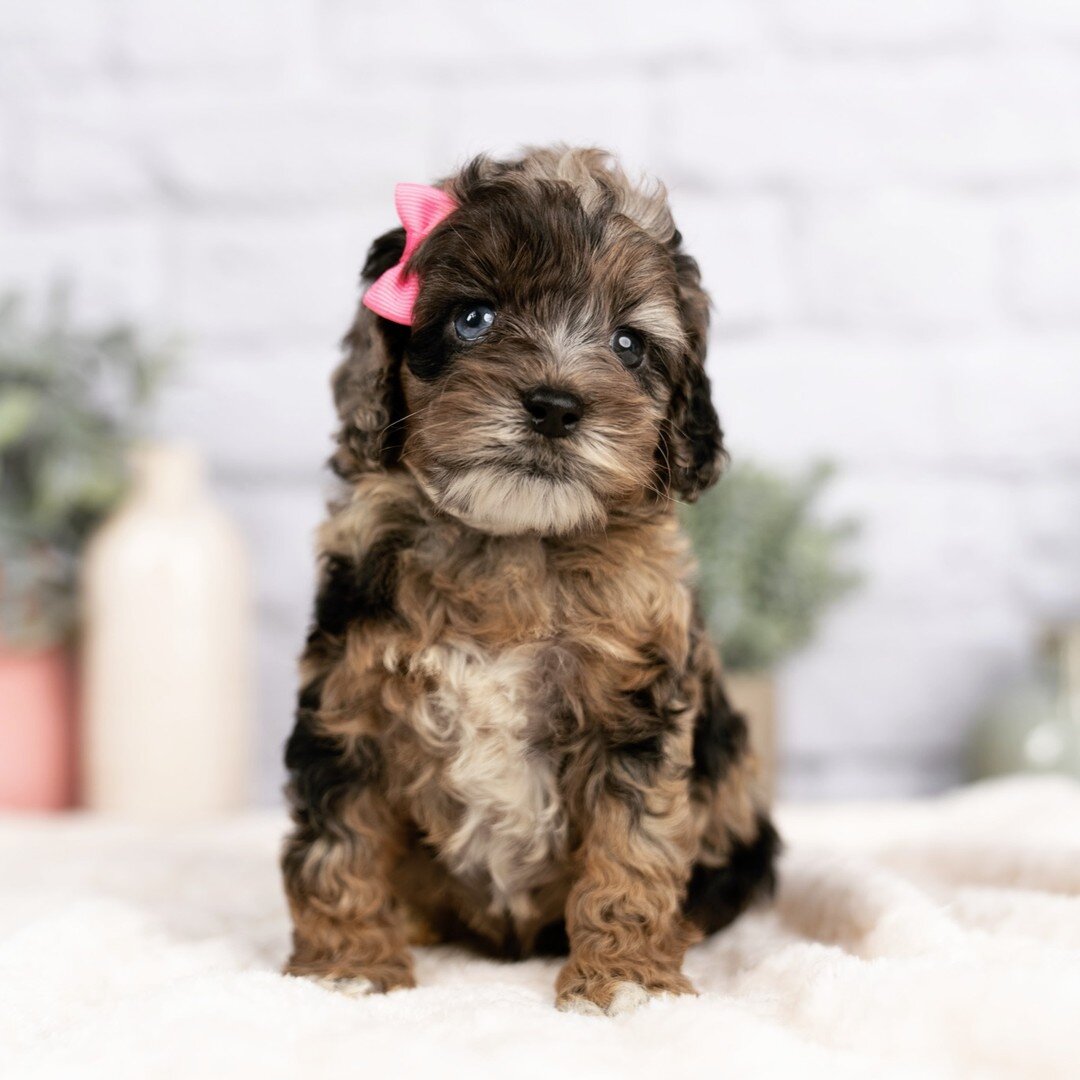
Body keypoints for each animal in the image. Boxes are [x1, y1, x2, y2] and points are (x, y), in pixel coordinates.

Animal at [282, 147, 781, 1015]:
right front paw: (347, 964)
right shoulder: (346, 697)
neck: (514, 541)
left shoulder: (635, 712)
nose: (554, 405)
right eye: (474, 319)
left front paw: (626, 978)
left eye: (628, 342)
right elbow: (337, 840)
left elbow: (633, 846)